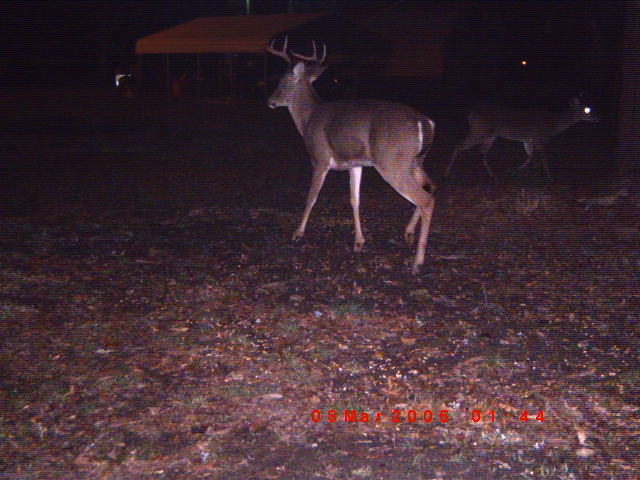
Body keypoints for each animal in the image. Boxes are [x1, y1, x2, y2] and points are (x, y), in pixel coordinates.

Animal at [267, 37, 436, 274]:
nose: (270, 101)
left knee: (425, 199)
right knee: (431, 186)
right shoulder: (355, 164)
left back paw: (417, 261)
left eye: (282, 83)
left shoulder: (319, 157)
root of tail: (425, 123)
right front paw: (359, 242)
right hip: (414, 161)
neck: (308, 118)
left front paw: (297, 233)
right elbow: (355, 199)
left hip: (392, 162)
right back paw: (409, 234)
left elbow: (312, 196)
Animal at [445, 98, 598, 179]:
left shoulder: (528, 140)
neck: (554, 125)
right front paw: (550, 176)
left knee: (482, 151)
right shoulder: (539, 137)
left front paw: (514, 170)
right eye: (587, 109)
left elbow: (530, 156)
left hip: (490, 134)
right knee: (460, 144)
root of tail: (472, 113)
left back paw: (492, 175)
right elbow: (542, 157)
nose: (597, 118)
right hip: (480, 130)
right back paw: (447, 173)